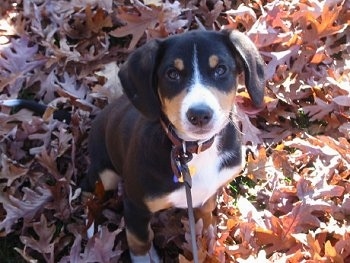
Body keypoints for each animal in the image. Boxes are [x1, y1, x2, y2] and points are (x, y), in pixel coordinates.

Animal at [80, 29, 264, 262]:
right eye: (172, 74)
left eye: (221, 69)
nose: (199, 115)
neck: (193, 149)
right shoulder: (135, 204)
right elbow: (139, 241)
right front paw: (145, 255)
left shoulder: (209, 192)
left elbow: (206, 215)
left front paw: (210, 240)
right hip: (106, 173)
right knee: (88, 189)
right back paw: (92, 230)